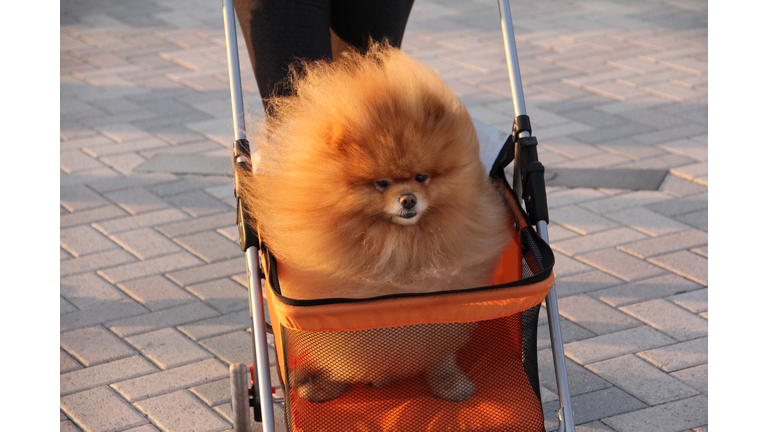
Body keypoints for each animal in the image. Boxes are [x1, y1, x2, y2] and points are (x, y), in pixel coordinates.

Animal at [234, 43, 510, 402]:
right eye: (381, 183)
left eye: (421, 177)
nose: (408, 199)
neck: (397, 247)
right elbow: (337, 354)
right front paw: (328, 383)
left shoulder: (449, 305)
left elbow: (440, 354)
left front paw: (449, 382)